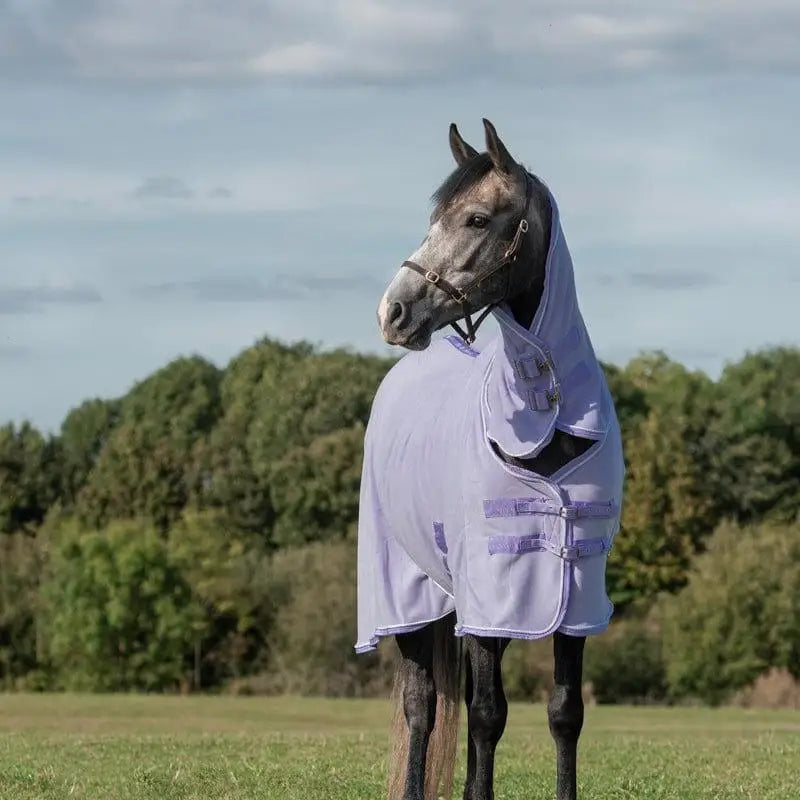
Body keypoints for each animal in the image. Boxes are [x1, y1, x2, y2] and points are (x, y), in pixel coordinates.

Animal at [355, 119, 625, 800]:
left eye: (477, 218)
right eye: (434, 217)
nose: (393, 311)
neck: (543, 409)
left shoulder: (573, 595)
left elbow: (564, 713)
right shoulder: (489, 590)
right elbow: (485, 715)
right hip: (412, 599)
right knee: (422, 706)